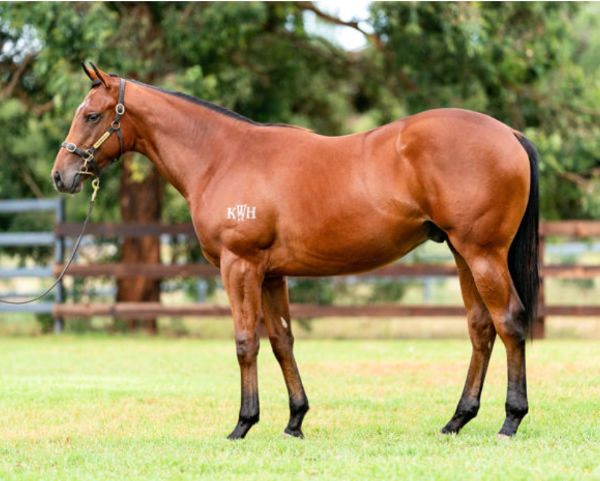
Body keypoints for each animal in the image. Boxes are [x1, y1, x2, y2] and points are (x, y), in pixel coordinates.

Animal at [50, 62, 540, 438]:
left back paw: (510, 421)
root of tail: (509, 134)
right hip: (462, 255)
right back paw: (457, 420)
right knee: (481, 328)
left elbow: (246, 342)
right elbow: (282, 340)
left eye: (91, 115)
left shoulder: (239, 266)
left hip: (483, 254)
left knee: (509, 322)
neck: (222, 157)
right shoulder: (271, 274)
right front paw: (295, 421)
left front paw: (243, 424)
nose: (61, 175)